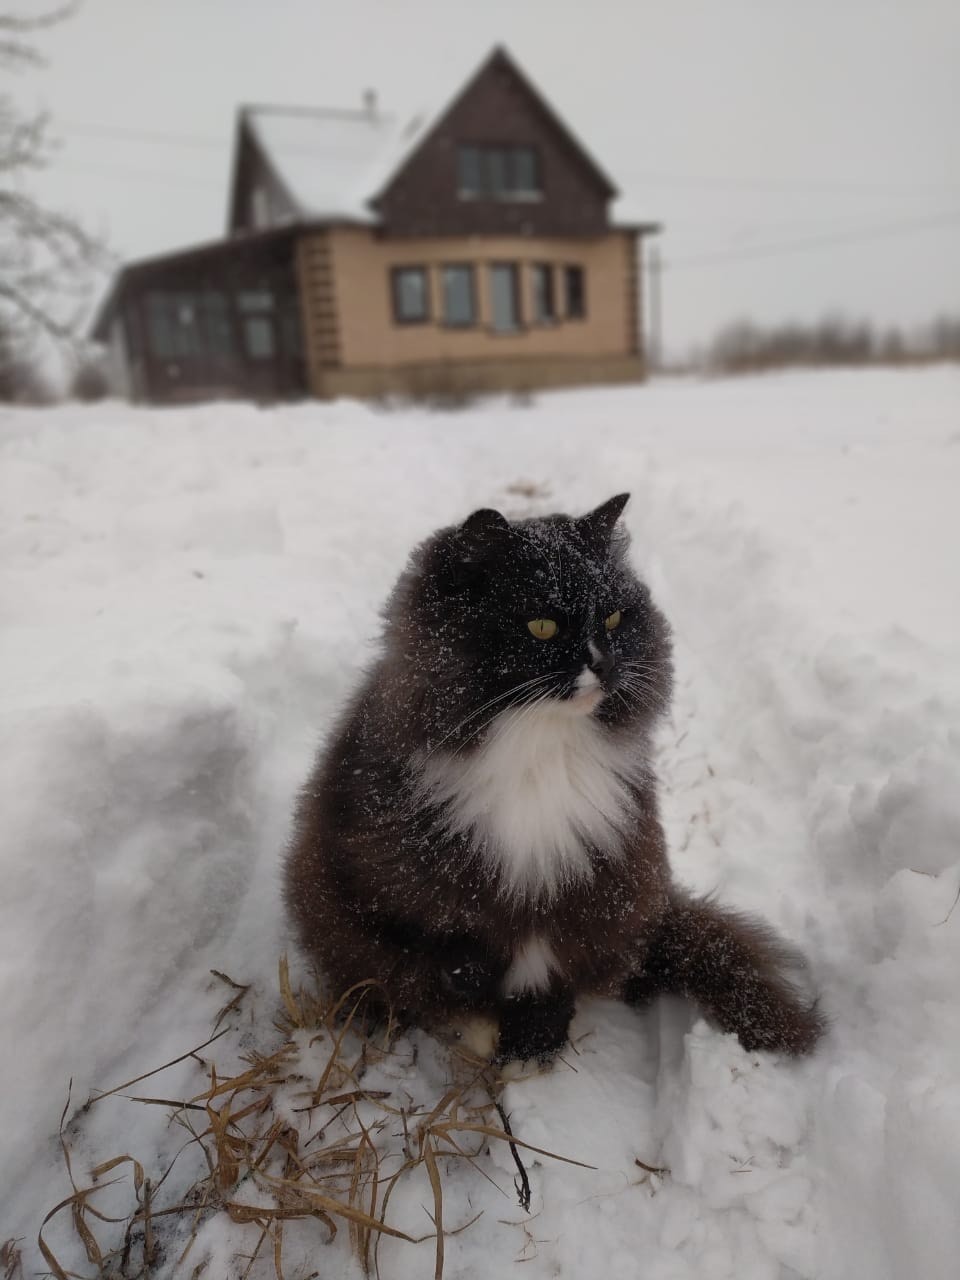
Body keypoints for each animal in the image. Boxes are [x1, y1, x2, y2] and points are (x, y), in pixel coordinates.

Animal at [285, 494, 829, 1064]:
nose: (605, 664)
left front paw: (532, 1042)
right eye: (543, 627)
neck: (539, 748)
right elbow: (442, 945)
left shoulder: (589, 891)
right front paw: (475, 1000)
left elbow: (543, 972)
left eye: (613, 618)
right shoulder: (382, 873)